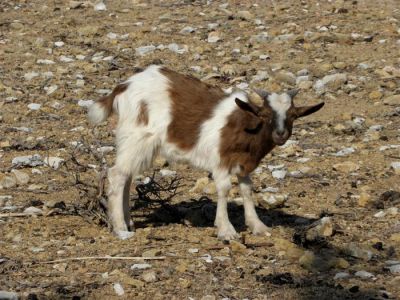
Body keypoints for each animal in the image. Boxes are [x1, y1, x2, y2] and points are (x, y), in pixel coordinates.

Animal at [88, 65, 324, 241]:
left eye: (293, 115)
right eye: (265, 115)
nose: (280, 134)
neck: (246, 126)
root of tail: (123, 87)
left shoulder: (243, 164)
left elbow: (247, 189)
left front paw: (258, 226)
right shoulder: (221, 161)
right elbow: (224, 188)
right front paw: (226, 230)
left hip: (136, 144)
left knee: (127, 176)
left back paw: (128, 221)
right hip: (138, 137)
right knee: (117, 174)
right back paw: (120, 228)